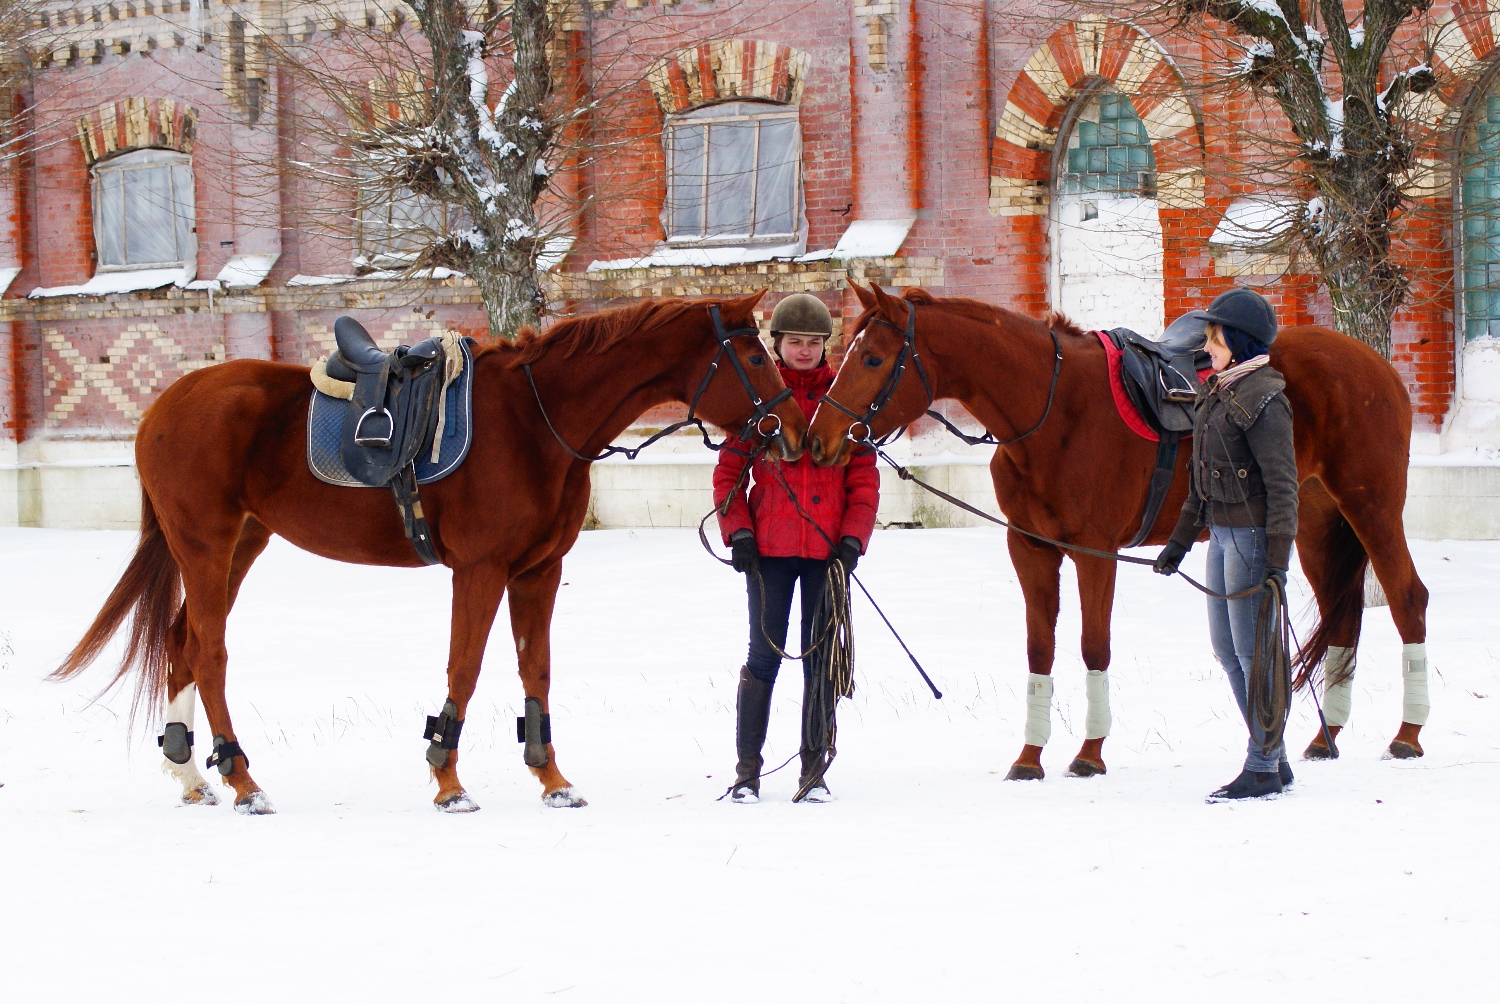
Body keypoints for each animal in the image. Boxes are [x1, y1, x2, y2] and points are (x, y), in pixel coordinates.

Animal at [52, 291, 804, 816]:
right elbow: (464, 670)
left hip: (241, 542)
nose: (796, 433)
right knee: (208, 651)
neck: (535, 420)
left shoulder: (539, 571)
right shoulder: (481, 570)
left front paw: (551, 778)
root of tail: (162, 407)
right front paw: (447, 779)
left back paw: (188, 772)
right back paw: (242, 779)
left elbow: (536, 669)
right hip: (205, 544)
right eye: (755, 356)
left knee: (182, 640)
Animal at [810, 285, 1428, 780]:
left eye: (872, 358)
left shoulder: (1095, 553)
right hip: (1315, 526)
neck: (1052, 411)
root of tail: (1373, 364)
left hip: (1370, 508)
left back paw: (1408, 734)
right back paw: (1327, 737)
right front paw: (1029, 758)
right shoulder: (1031, 550)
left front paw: (1089, 752)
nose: (820, 439)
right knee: (1343, 615)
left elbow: (1093, 646)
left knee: (1406, 599)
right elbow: (1040, 649)